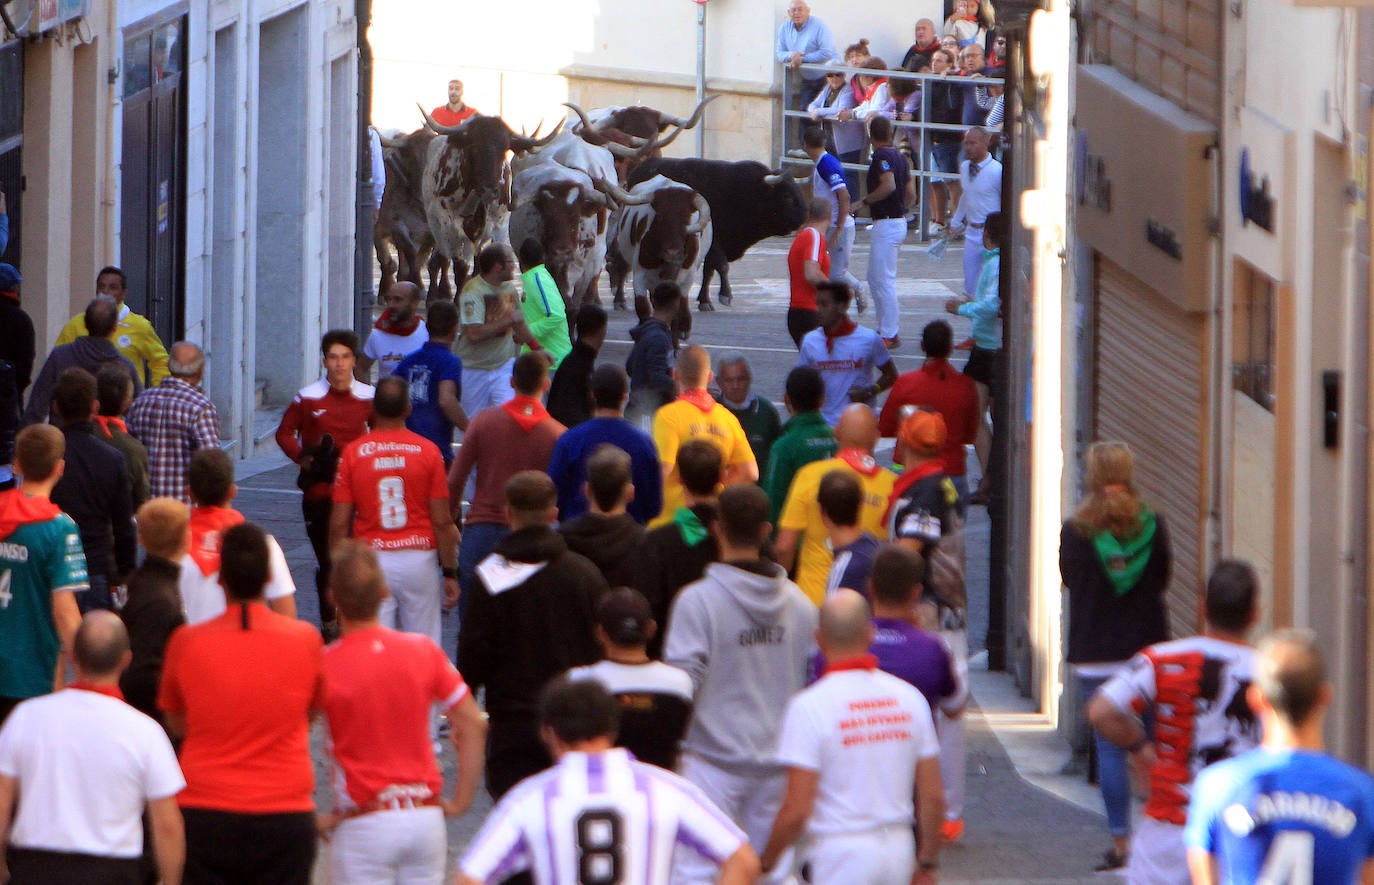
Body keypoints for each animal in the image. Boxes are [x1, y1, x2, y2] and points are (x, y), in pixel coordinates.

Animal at [420, 106, 566, 300]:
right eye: (474, 146)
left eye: (504, 149)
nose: (490, 190)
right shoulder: (450, 225)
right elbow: (458, 266)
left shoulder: (498, 225)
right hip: (436, 224)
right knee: (442, 259)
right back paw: (438, 292)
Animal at [629, 158, 807, 310]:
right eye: (787, 196)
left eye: (798, 191)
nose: (804, 217)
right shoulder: (715, 243)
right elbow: (722, 266)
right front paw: (725, 295)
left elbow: (709, 271)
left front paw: (704, 300)